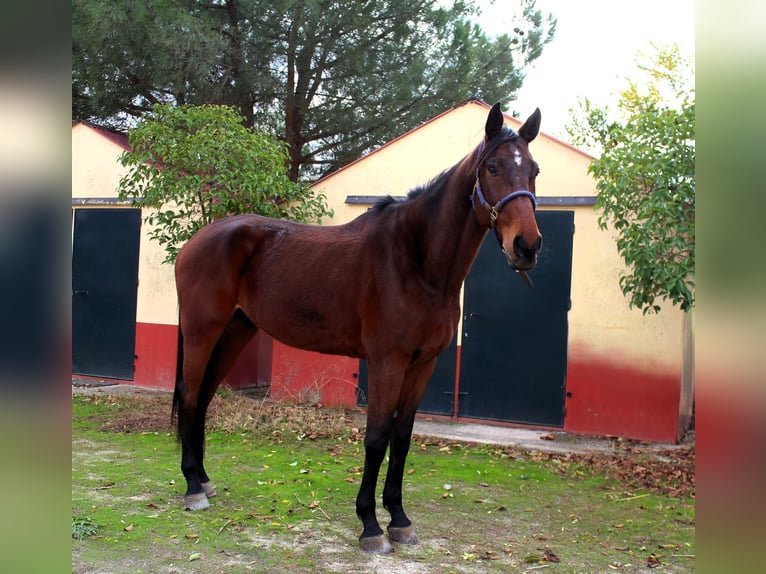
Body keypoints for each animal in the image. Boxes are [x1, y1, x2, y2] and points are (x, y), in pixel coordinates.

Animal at [173, 102, 543, 554]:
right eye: (492, 167)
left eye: (534, 171)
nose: (526, 246)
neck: (416, 261)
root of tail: (196, 240)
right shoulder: (387, 362)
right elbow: (376, 438)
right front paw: (370, 525)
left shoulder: (423, 365)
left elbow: (402, 438)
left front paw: (399, 519)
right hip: (202, 332)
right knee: (192, 398)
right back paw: (192, 489)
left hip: (235, 332)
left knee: (205, 398)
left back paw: (204, 480)